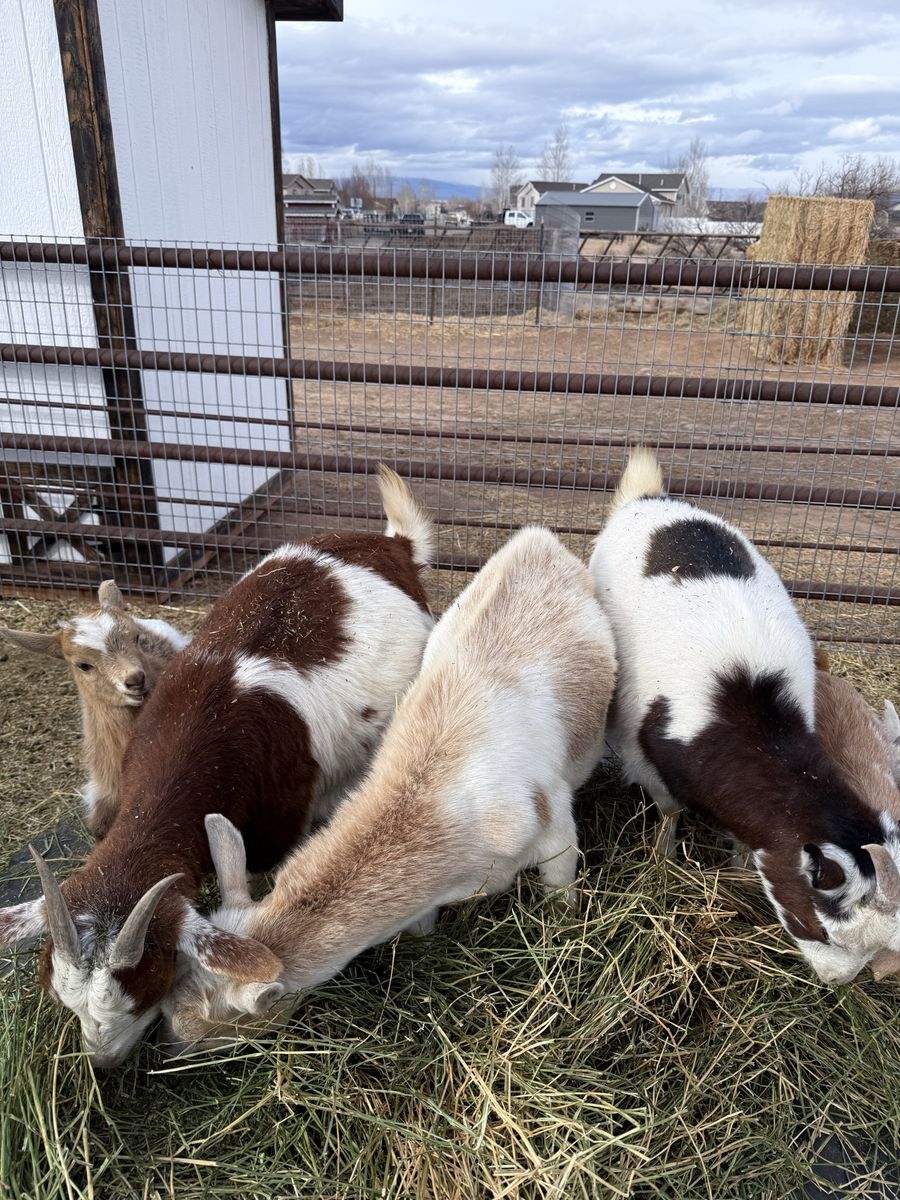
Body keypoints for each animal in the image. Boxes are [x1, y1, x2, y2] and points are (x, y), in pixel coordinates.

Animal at [160, 526, 617, 1049]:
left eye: (213, 1034)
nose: (170, 1042)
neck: (433, 796)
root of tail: (536, 538)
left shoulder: (554, 827)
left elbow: (561, 894)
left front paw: (565, 937)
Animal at [589, 448, 900, 984]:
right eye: (824, 932)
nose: (834, 982)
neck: (750, 719)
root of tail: (647, 500)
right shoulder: (648, 759)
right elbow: (669, 810)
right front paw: (663, 861)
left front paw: (736, 869)